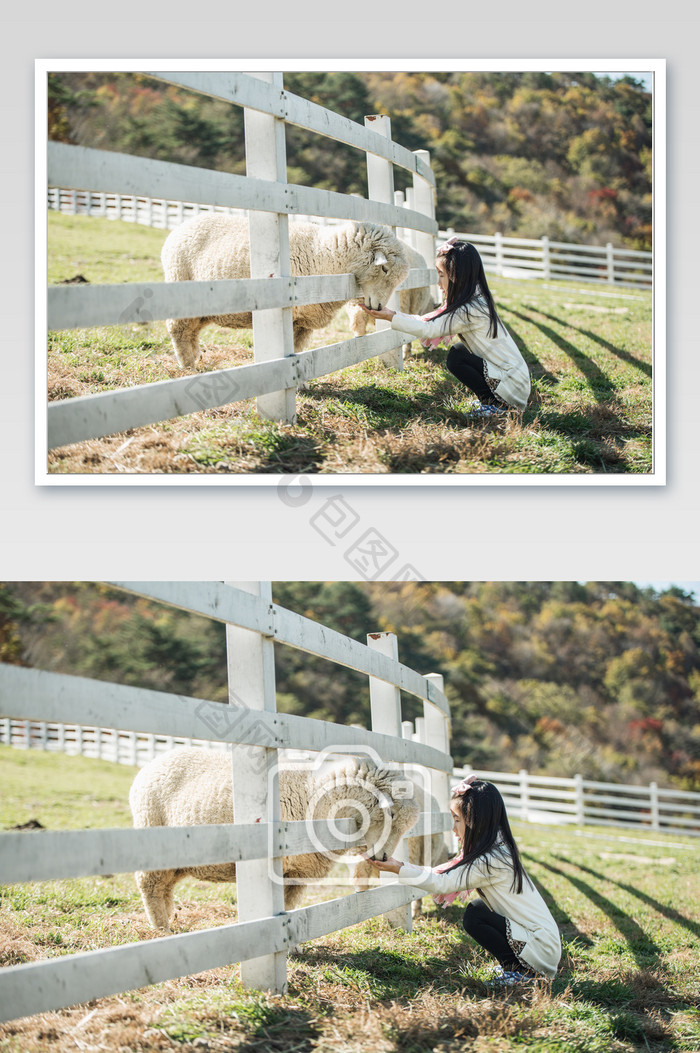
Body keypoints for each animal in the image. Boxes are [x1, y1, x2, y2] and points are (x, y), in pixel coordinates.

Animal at [128, 749, 416, 930]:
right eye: (390, 813)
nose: (383, 858)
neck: (314, 797)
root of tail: (152, 763)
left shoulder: (297, 874)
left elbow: (289, 908)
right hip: (152, 831)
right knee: (149, 884)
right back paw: (161, 928)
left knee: (164, 887)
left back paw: (169, 919)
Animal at [160, 213, 410, 370]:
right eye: (384, 268)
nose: (378, 307)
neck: (324, 254)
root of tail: (180, 227)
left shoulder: (302, 322)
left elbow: (297, 351)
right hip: (180, 284)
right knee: (178, 330)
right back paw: (188, 366)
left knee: (191, 332)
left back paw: (196, 359)